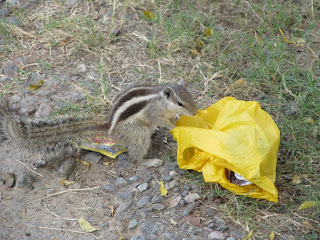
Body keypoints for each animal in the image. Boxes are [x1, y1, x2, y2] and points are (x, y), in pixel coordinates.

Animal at [0, 81, 198, 168]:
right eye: (180, 103)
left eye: (191, 97)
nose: (195, 113)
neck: (163, 101)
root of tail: (110, 126)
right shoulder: (154, 111)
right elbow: (161, 120)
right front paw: (174, 126)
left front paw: (178, 122)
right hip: (137, 132)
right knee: (135, 155)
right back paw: (148, 161)